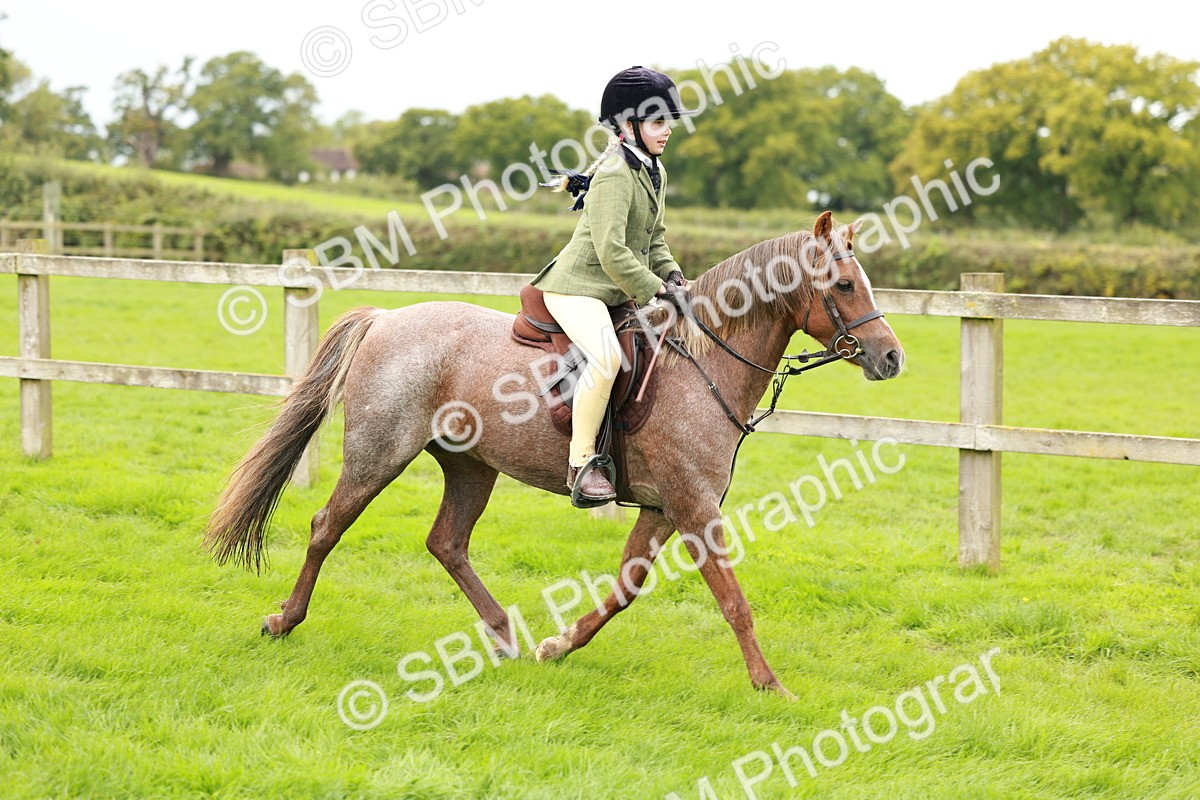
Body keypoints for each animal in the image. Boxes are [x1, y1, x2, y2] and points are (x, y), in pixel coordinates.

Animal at [204, 211, 905, 697]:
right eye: (845, 284)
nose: (892, 357)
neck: (703, 363)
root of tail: (387, 318)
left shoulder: (662, 508)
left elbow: (625, 588)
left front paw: (559, 646)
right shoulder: (694, 506)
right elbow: (733, 600)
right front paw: (770, 686)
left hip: (470, 466)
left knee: (447, 542)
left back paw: (505, 638)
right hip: (379, 454)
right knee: (328, 526)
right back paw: (284, 620)